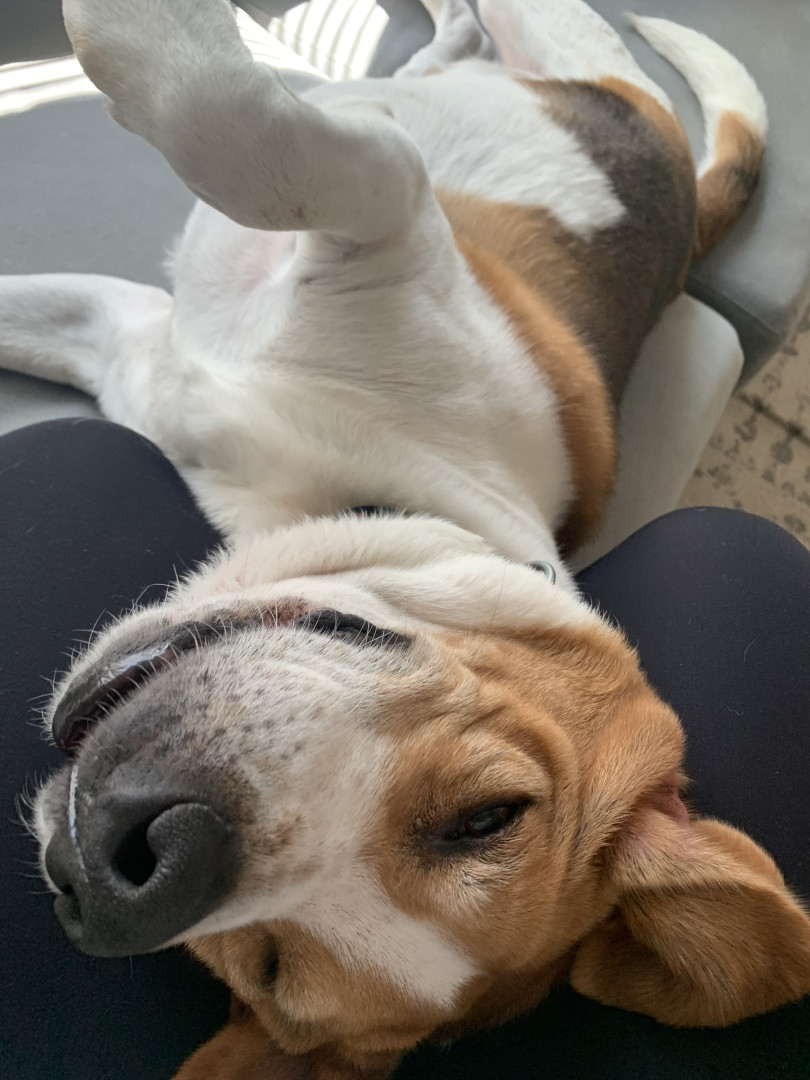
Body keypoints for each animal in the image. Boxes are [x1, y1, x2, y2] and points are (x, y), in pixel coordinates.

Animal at [6, 0, 810, 1077]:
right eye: (490, 817)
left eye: (264, 964)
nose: (112, 870)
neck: (356, 492)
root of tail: (683, 212)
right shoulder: (142, 324)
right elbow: (267, 136)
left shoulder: (375, 211)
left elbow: (264, 137)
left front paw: (138, 32)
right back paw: (445, 38)